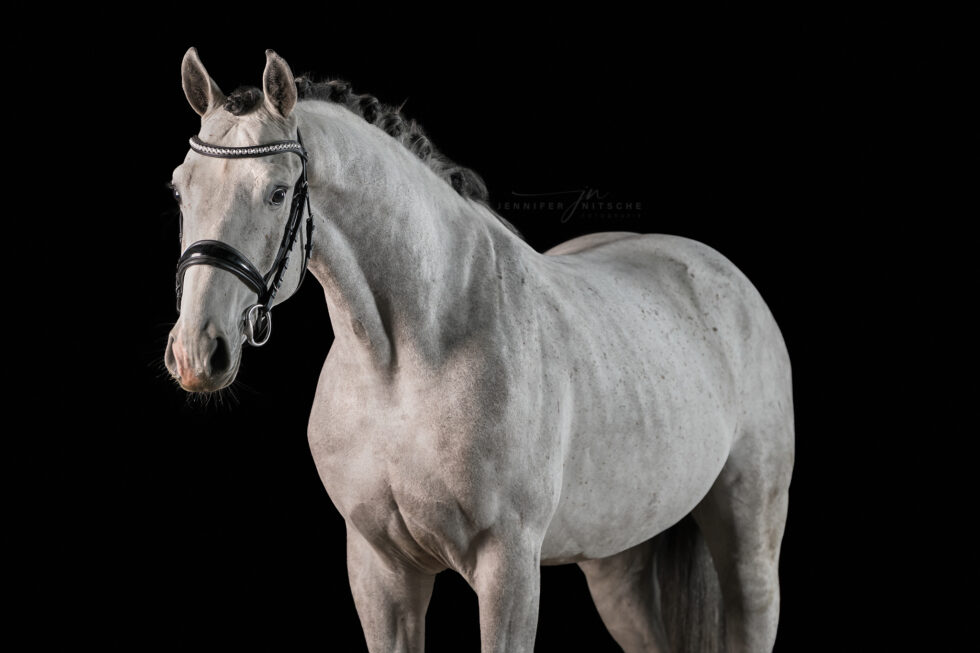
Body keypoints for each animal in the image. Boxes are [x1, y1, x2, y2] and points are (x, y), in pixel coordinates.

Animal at [164, 48, 794, 653]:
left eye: (275, 193)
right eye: (179, 187)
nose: (197, 351)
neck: (403, 365)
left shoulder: (507, 568)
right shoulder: (380, 568)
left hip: (750, 547)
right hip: (620, 563)